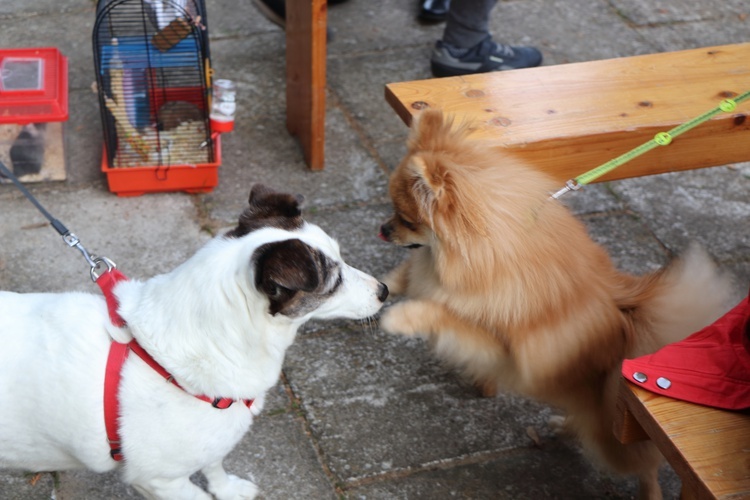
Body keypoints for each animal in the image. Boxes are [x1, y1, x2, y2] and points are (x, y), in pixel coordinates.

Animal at [0, 186, 388, 498]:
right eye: (334, 282)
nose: (384, 291)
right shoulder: (160, 480)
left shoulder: (211, 442)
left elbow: (214, 465)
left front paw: (227, 489)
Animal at [378, 108, 732, 496]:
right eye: (393, 212)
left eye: (407, 220)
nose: (382, 230)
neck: (492, 254)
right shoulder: (430, 269)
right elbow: (405, 275)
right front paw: (372, 287)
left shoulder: (500, 348)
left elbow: (444, 314)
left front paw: (401, 317)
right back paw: (564, 425)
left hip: (613, 442)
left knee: (645, 465)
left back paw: (647, 490)